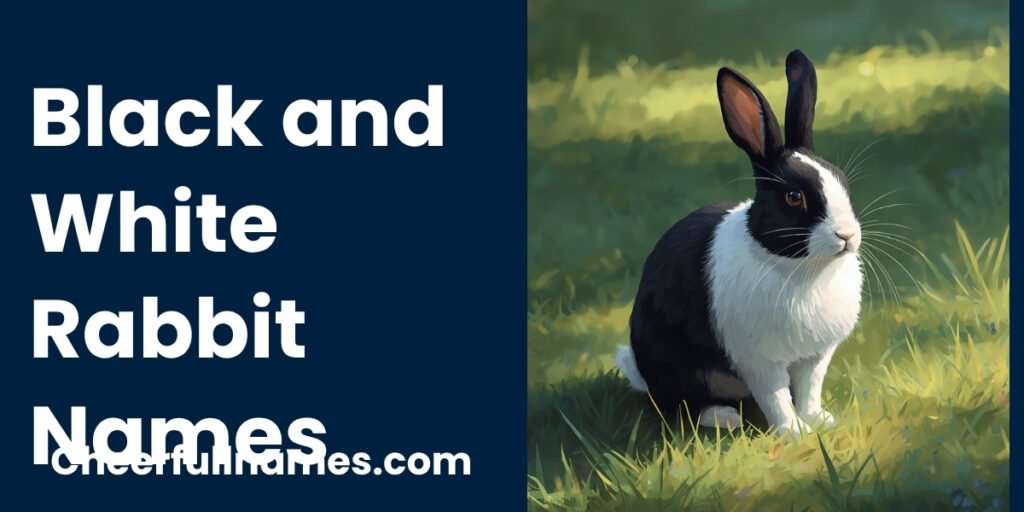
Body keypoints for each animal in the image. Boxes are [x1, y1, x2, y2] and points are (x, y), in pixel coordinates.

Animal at [616, 50, 862, 437]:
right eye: (794, 197)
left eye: (842, 181)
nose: (847, 235)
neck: (801, 268)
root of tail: (641, 372)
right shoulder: (758, 360)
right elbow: (775, 396)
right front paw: (794, 433)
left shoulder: (814, 357)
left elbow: (809, 388)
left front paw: (818, 420)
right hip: (673, 363)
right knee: (680, 404)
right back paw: (723, 418)